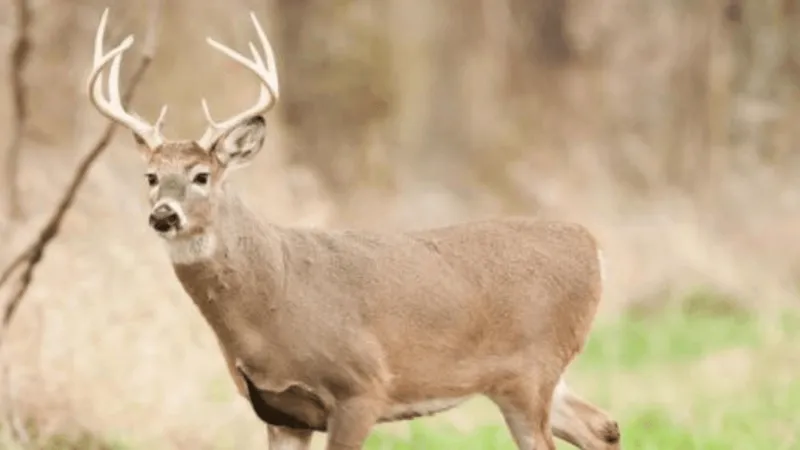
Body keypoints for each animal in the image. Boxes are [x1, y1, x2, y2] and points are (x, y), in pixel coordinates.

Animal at [86, 8, 621, 450]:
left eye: (201, 176)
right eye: (151, 176)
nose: (163, 215)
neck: (273, 297)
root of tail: (591, 245)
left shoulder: (362, 388)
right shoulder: (280, 413)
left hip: (532, 372)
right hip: (534, 378)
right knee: (604, 427)